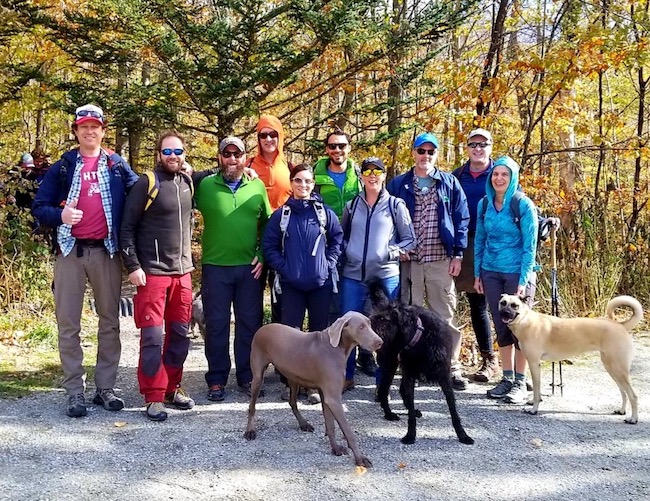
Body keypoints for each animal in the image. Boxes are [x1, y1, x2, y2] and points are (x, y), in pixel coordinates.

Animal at [246, 310, 382, 466]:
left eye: (369, 324)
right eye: (360, 327)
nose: (380, 342)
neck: (336, 347)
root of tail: (263, 328)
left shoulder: (326, 395)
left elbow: (330, 425)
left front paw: (335, 448)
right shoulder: (333, 398)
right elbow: (348, 432)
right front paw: (360, 458)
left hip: (293, 377)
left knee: (292, 402)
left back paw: (304, 424)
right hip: (258, 377)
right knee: (252, 406)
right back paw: (250, 431)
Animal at [368, 278, 474, 446]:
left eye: (383, 319)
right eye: (375, 316)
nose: (365, 323)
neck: (421, 336)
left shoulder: (444, 376)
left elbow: (453, 409)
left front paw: (462, 435)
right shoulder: (410, 373)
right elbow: (410, 412)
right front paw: (410, 435)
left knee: (396, 389)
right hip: (391, 363)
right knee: (384, 390)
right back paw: (389, 414)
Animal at [498, 294, 640, 424]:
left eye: (514, 305)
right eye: (503, 303)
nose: (505, 313)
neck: (525, 320)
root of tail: (621, 325)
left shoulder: (534, 364)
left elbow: (537, 389)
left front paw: (534, 409)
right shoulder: (534, 364)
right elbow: (537, 390)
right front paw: (533, 401)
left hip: (618, 369)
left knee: (633, 395)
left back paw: (633, 419)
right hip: (611, 368)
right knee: (623, 391)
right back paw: (621, 410)